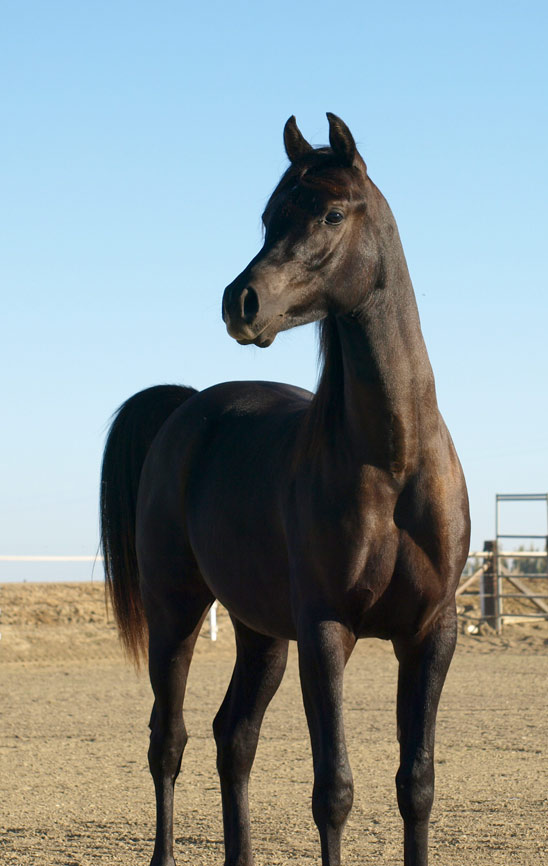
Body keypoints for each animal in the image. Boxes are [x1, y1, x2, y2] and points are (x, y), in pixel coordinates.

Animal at [100, 115, 468, 864]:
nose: (240, 302)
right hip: (176, 612)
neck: (394, 462)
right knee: (168, 740)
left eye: (331, 213)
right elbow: (334, 792)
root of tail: (188, 407)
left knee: (233, 737)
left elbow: (416, 785)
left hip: (261, 633)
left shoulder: (431, 633)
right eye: (270, 217)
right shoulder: (326, 631)